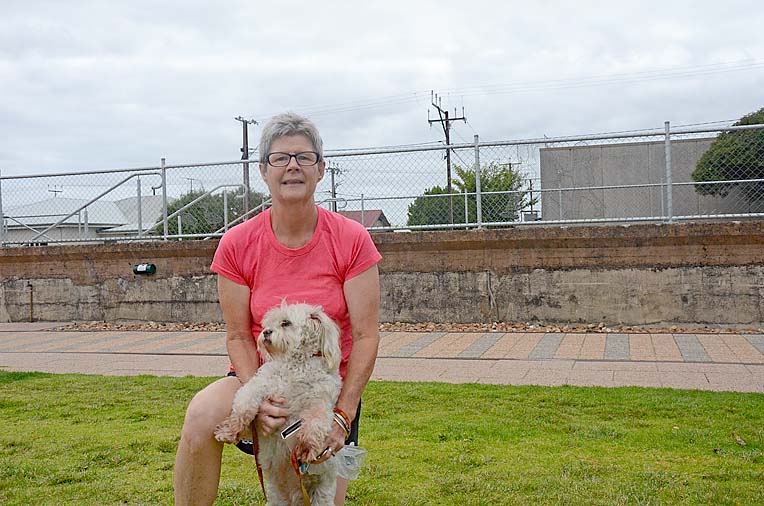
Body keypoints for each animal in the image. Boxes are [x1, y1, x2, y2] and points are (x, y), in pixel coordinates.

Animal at [214, 302, 343, 506]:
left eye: (285, 323)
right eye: (268, 323)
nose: (266, 332)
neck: (296, 365)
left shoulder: (320, 403)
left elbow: (316, 423)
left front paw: (306, 447)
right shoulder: (259, 386)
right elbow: (244, 406)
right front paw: (229, 430)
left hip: (321, 493)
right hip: (276, 496)